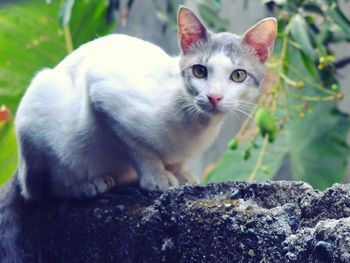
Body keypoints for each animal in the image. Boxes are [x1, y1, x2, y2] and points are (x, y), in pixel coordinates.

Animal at [0, 6, 276, 263]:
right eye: (199, 71)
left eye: (238, 75)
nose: (214, 97)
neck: (195, 125)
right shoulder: (103, 94)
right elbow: (139, 149)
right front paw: (157, 176)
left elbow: (177, 161)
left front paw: (182, 173)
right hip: (40, 109)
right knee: (44, 190)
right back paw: (87, 185)